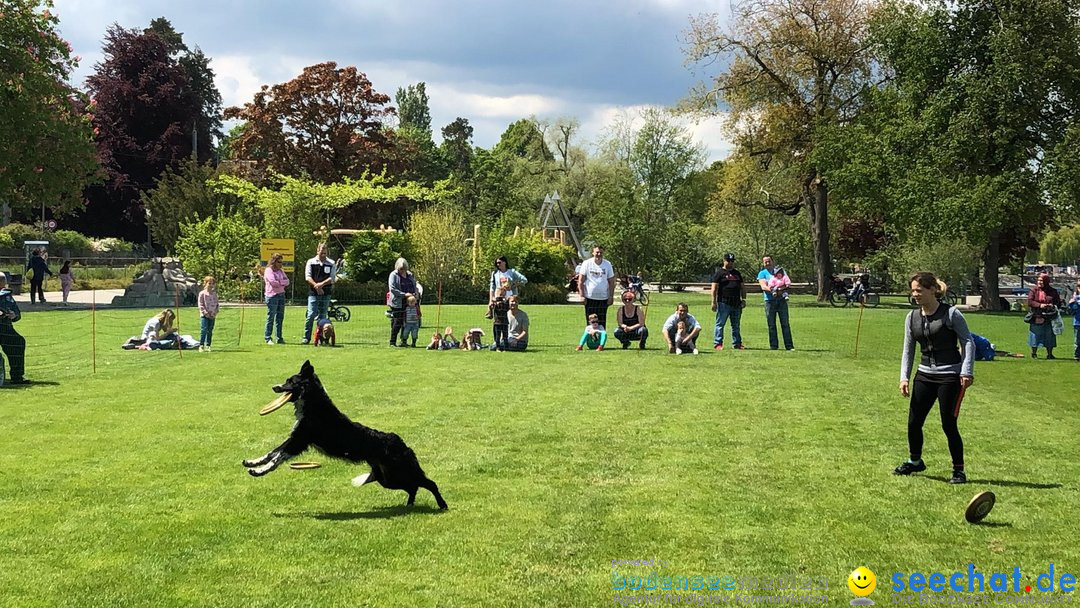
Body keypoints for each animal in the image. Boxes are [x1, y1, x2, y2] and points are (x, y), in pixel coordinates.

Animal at [244, 360, 447, 509]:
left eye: (290, 382)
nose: (274, 387)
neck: (314, 404)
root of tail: (400, 441)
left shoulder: (299, 441)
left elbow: (276, 458)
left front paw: (259, 471)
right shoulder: (295, 438)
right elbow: (271, 452)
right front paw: (252, 462)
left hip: (400, 471)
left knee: (429, 483)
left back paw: (442, 505)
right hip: (388, 478)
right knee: (413, 487)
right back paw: (409, 505)